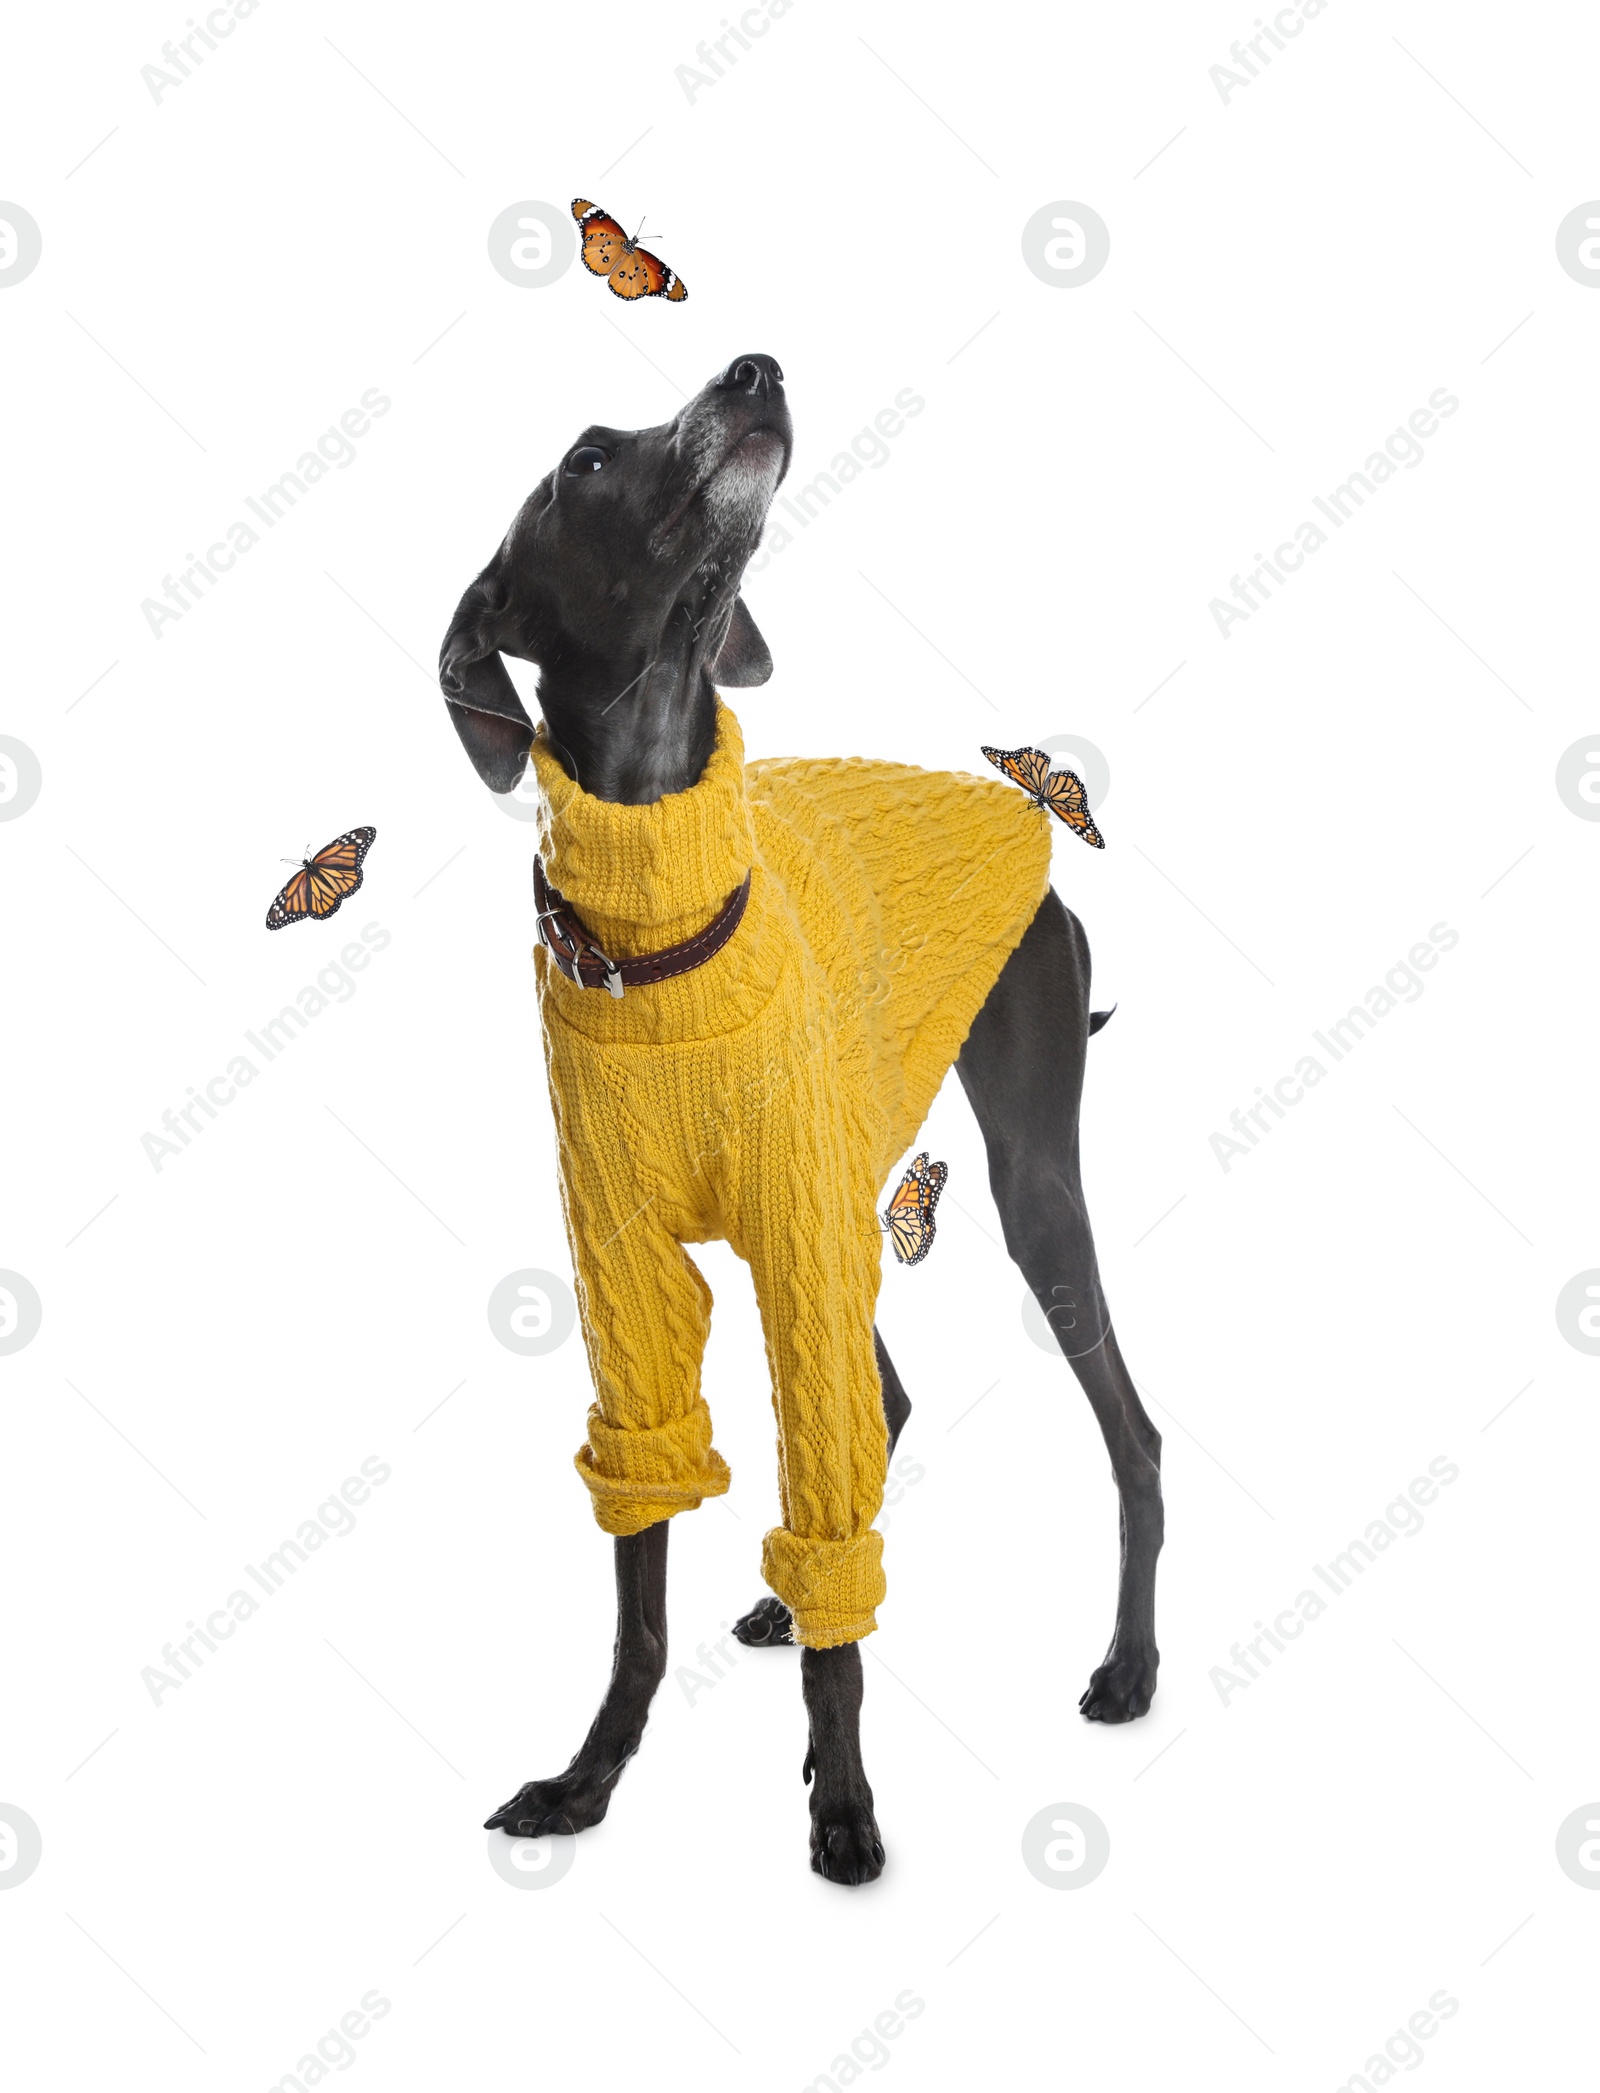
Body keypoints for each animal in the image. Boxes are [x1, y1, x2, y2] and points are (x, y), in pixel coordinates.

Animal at [437, 351, 1164, 1892]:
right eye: (586, 461)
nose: (752, 368)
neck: (658, 913)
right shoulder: (634, 1291)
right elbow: (639, 1594)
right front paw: (589, 1778)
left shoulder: (802, 1247)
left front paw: (844, 1802)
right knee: (893, 1399)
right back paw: (786, 1608)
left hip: (1024, 1191)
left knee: (1132, 1437)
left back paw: (1129, 1667)